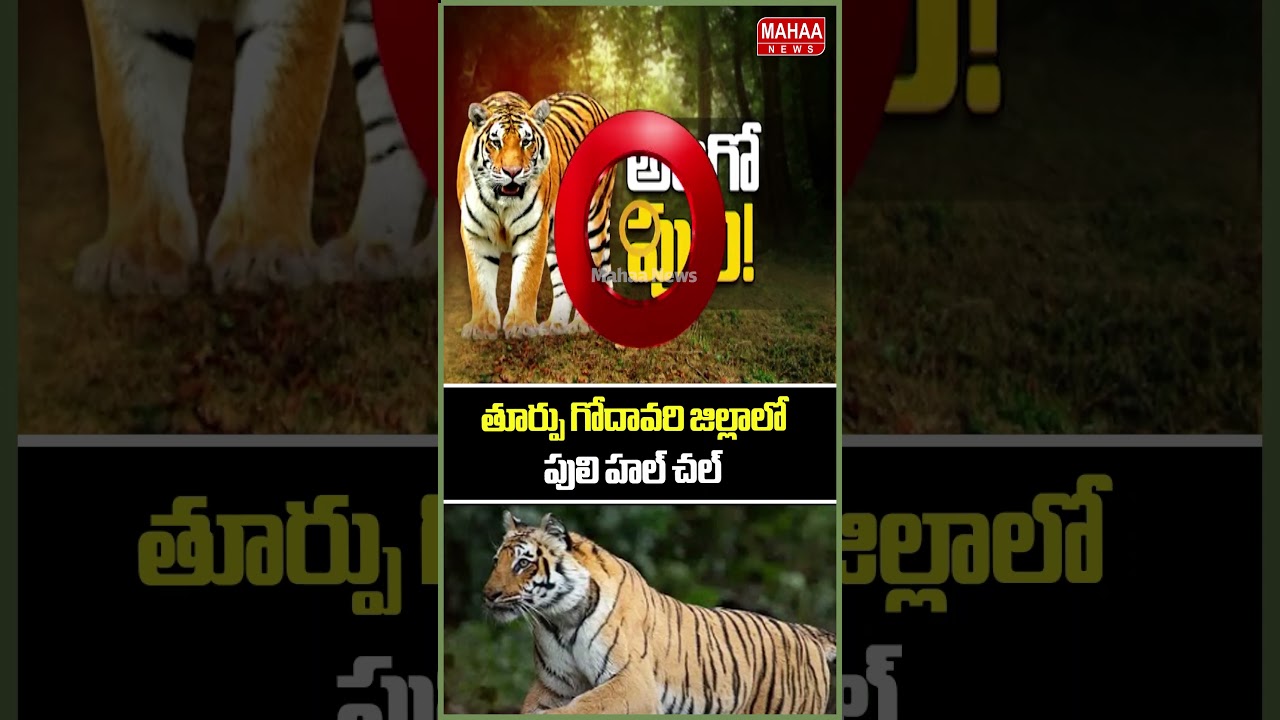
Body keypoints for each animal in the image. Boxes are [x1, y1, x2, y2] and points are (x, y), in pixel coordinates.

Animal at [456, 91, 615, 340]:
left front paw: (520, 325)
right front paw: (481, 327)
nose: (512, 172)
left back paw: (580, 325)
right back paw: (554, 324)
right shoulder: (475, 233)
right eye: (496, 142)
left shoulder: (533, 230)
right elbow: (479, 282)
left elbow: (526, 281)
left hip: (595, 220)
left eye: (526, 141)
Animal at [483, 511, 838, 715]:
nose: (488, 595)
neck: (561, 617)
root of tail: (804, 632)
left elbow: (579, 709)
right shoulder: (555, 685)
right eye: (496, 561)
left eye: (523, 563)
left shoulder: (632, 682)